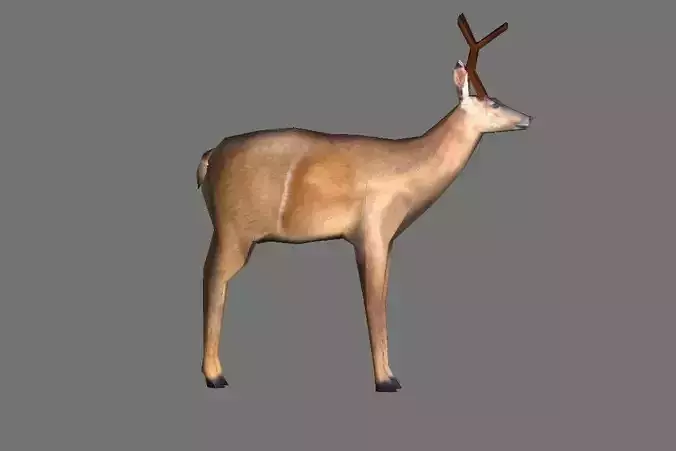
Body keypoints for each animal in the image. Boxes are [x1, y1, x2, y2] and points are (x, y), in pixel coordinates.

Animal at [196, 13, 533, 393]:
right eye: (493, 101)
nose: (528, 117)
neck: (410, 173)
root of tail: (208, 158)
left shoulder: (387, 239)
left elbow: (381, 296)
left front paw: (388, 374)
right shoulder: (372, 230)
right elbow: (375, 305)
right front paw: (386, 380)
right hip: (234, 228)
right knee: (213, 278)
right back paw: (215, 376)